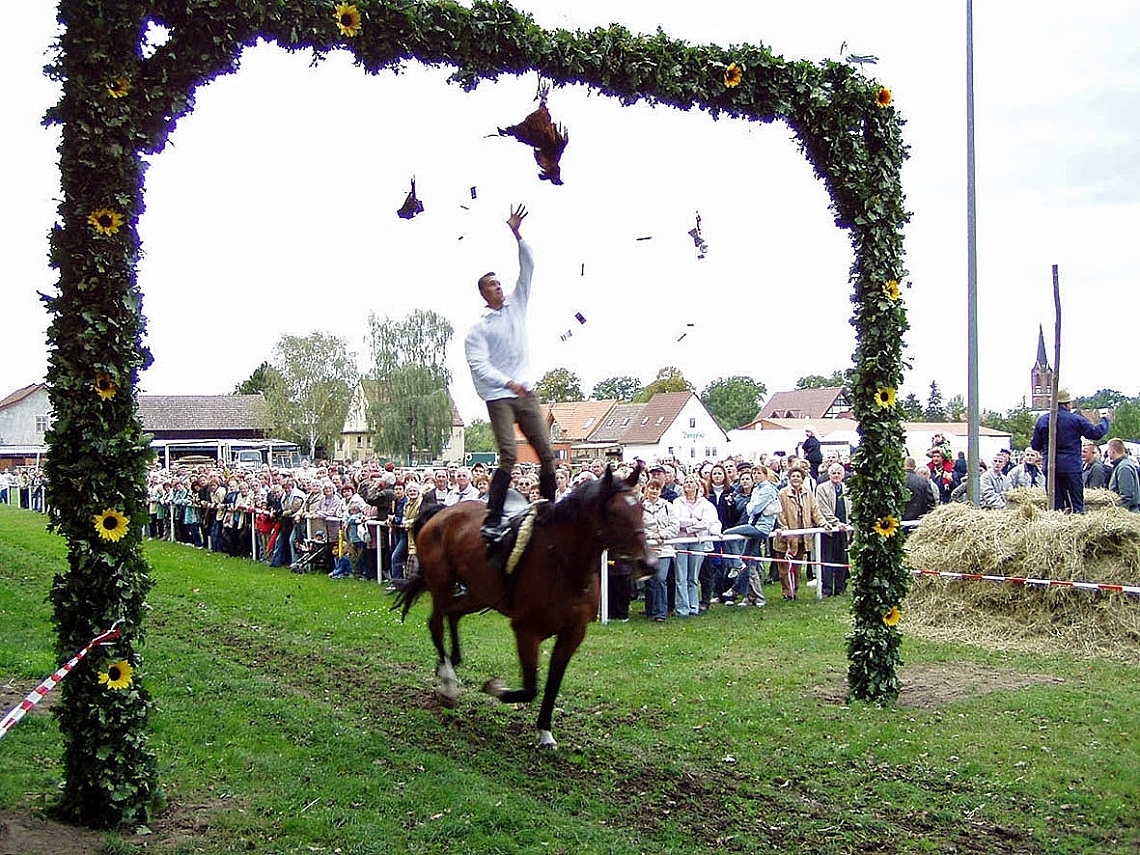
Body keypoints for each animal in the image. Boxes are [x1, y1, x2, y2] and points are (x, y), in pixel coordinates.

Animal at [394, 469, 652, 747]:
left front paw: (545, 731)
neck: (563, 563)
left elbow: (552, 684)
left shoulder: (573, 633)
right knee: (436, 624)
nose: (648, 563)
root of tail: (440, 513)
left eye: (641, 509)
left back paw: (452, 662)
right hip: (442, 583)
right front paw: (496, 688)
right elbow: (531, 687)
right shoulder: (526, 630)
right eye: (614, 513)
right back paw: (448, 683)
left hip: (480, 593)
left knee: (453, 614)